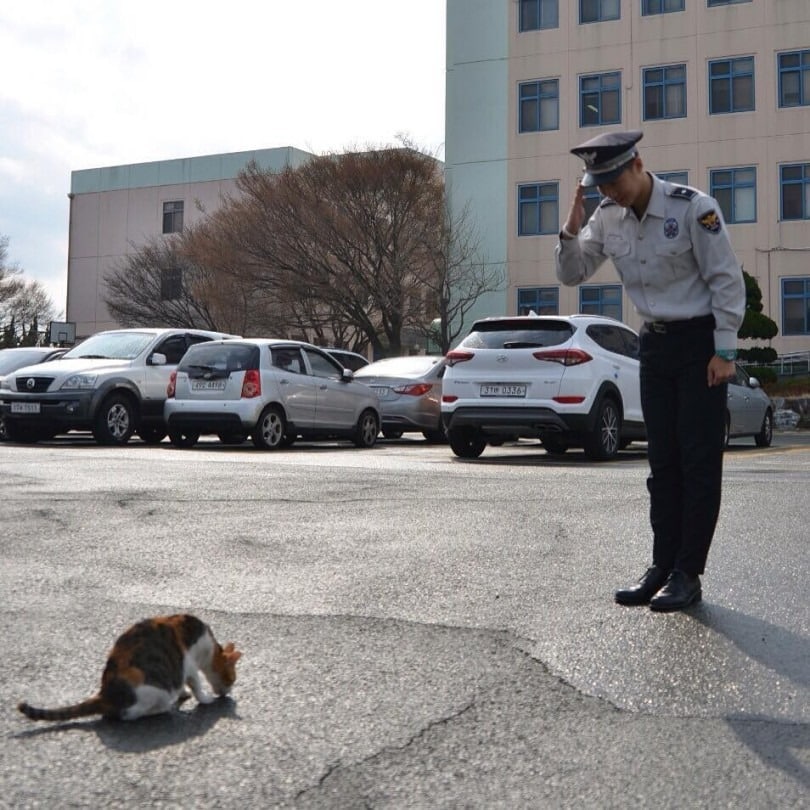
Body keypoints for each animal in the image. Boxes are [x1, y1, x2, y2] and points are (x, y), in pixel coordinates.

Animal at [18, 612, 240, 720]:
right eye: (232, 678)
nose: (228, 692)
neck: (210, 647)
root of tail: (104, 694)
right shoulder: (190, 663)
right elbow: (196, 684)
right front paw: (205, 698)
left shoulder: (185, 668)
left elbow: (185, 683)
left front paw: (184, 692)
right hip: (154, 690)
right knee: (128, 715)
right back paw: (162, 709)